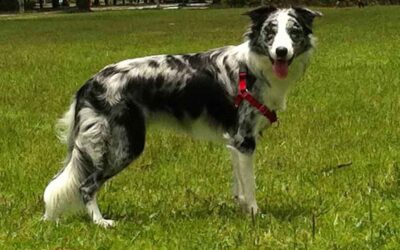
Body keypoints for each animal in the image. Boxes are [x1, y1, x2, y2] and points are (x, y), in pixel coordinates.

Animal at [42, 5, 322, 229]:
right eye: (270, 32)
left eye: (294, 31)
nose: (282, 52)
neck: (253, 67)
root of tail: (90, 83)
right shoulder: (245, 140)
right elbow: (250, 185)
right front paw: (255, 215)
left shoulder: (236, 141)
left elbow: (239, 186)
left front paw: (242, 211)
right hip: (125, 145)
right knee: (86, 185)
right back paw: (101, 222)